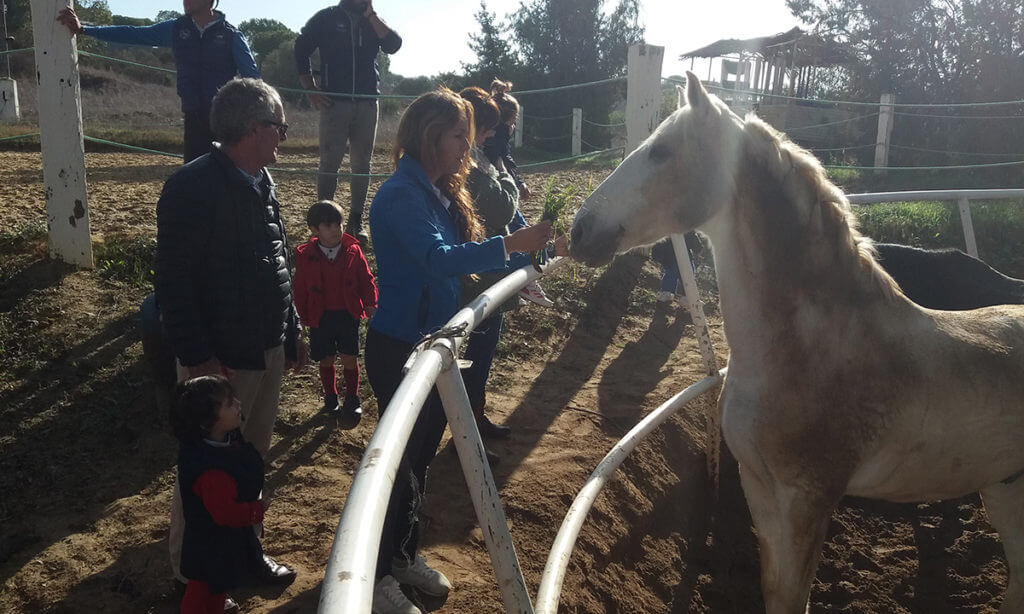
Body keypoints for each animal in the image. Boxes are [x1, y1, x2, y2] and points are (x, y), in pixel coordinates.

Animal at [573, 73, 1024, 614]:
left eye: (660, 150)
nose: (578, 231)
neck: (805, 351)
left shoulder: (808, 499)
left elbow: (794, 595)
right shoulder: (760, 489)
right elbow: (774, 591)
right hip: (1005, 490)